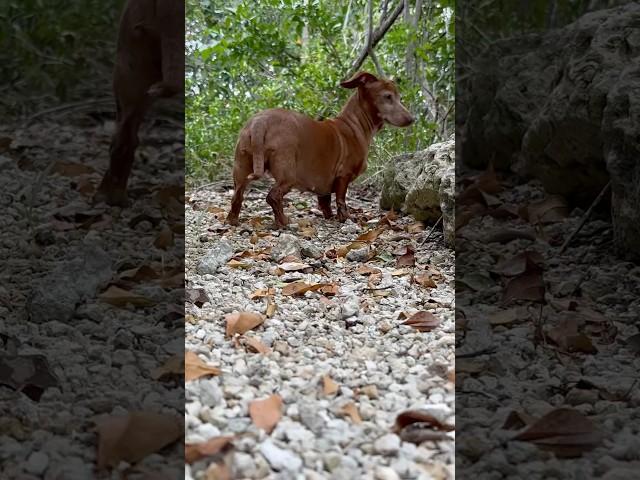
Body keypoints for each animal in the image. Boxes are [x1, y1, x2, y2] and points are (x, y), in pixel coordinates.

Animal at [228, 70, 412, 228]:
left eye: (399, 97)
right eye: (387, 97)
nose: (412, 119)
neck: (354, 124)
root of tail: (260, 121)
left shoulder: (324, 184)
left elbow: (325, 203)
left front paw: (329, 216)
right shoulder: (343, 175)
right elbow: (341, 200)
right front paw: (346, 218)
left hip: (241, 169)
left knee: (237, 197)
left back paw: (233, 220)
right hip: (287, 174)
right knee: (273, 196)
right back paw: (283, 222)